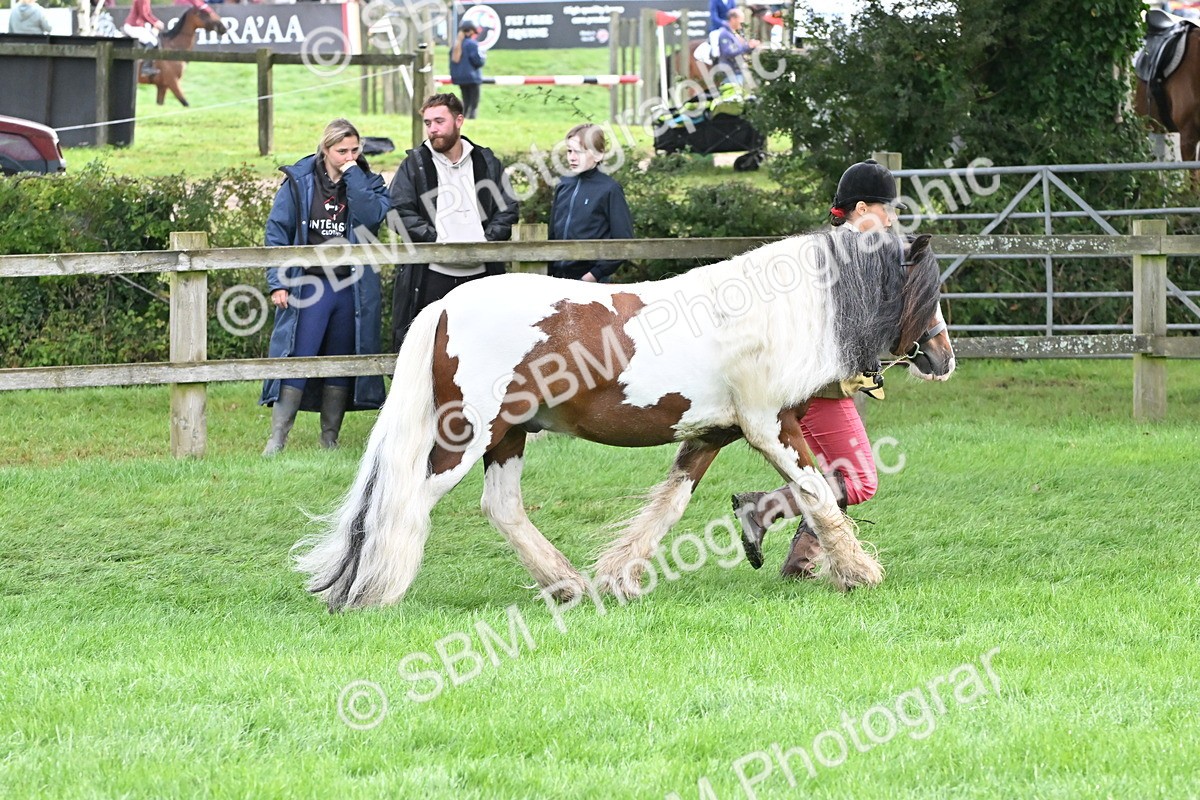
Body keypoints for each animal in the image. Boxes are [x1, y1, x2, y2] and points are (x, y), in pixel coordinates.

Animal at [294, 230, 956, 611]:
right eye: (925, 290)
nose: (943, 357)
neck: (769, 315)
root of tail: (445, 306)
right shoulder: (770, 427)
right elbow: (818, 490)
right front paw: (859, 572)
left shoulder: (713, 434)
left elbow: (670, 506)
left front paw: (619, 577)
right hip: (467, 437)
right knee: (407, 499)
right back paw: (374, 592)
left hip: (509, 436)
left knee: (501, 508)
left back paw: (568, 586)